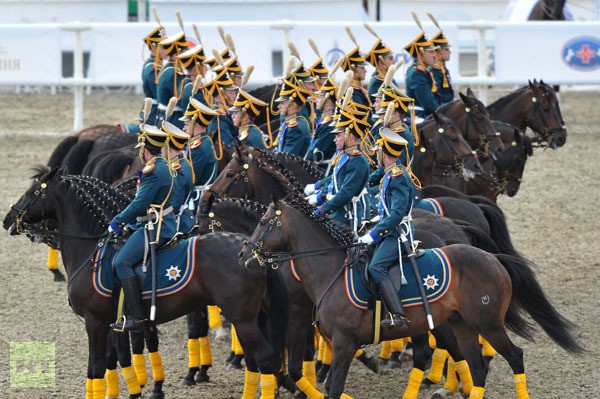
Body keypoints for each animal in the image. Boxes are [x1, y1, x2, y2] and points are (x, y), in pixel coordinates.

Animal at [2, 167, 288, 399]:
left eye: (32, 191)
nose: (8, 219)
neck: (90, 251)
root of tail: (251, 251)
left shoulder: (96, 322)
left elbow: (96, 368)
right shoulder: (112, 323)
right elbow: (112, 361)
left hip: (243, 319)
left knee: (264, 358)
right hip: (251, 318)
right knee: (258, 361)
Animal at [241, 199, 584, 399]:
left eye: (263, 222)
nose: (244, 254)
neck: (331, 271)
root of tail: (492, 258)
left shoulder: (343, 342)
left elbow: (333, 387)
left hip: (488, 324)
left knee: (514, 357)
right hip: (461, 324)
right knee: (476, 366)